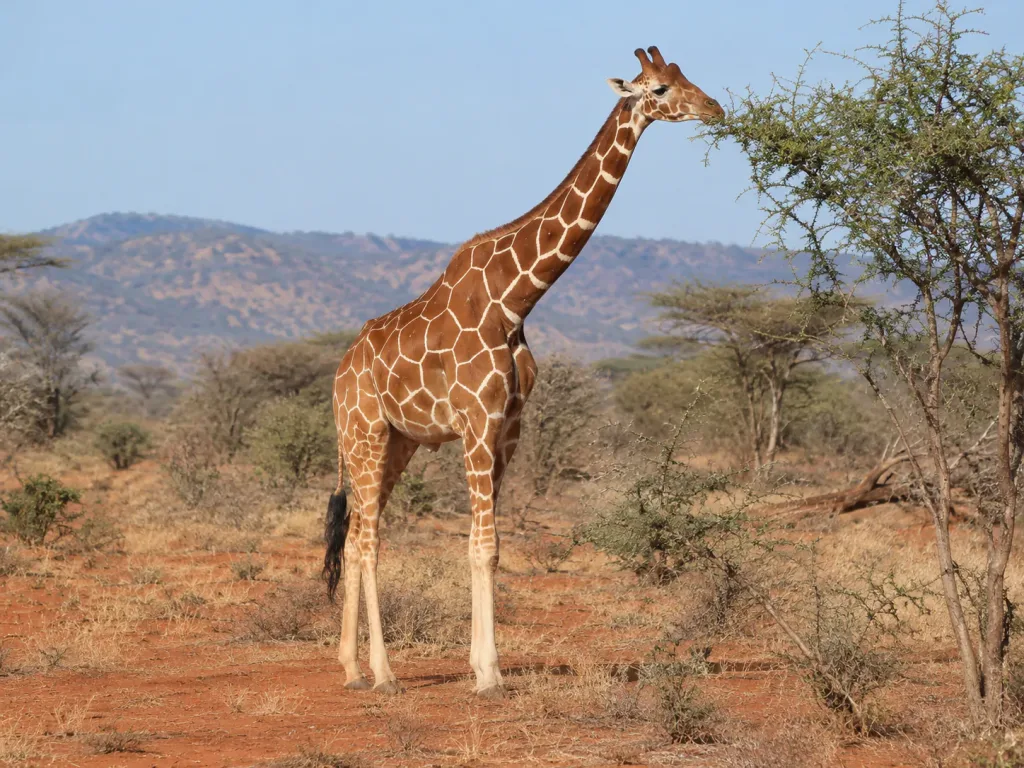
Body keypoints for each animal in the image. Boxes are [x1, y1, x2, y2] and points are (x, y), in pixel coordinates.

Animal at [323, 46, 725, 698]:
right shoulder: (476, 423)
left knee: (358, 535)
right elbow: (481, 547)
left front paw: (481, 664)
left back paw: (352, 666)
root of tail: (340, 371)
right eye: (661, 89)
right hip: (365, 433)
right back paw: (383, 673)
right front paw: (489, 675)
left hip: (399, 442)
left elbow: (488, 545)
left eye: (688, 76)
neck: (515, 298)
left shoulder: (507, 430)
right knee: (368, 541)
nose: (715, 107)